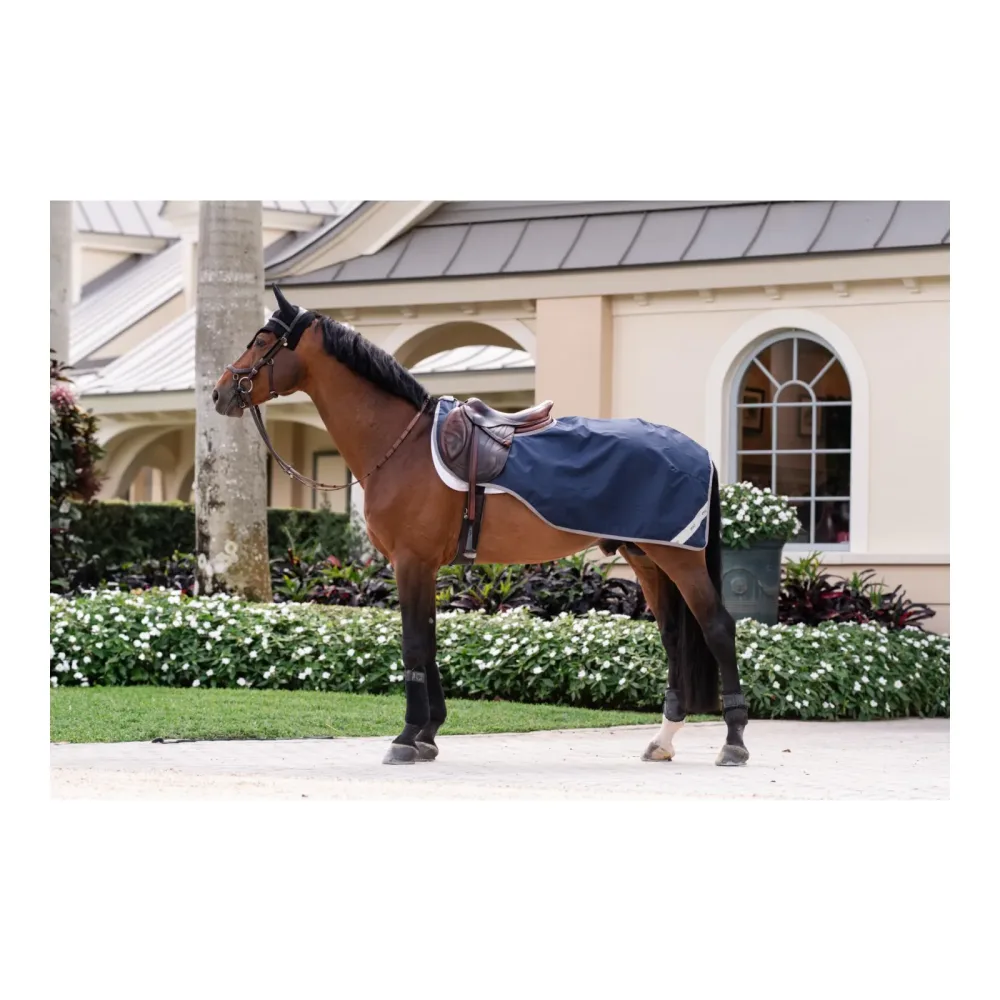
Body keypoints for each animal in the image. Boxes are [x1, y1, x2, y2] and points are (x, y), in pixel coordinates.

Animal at [212, 287, 750, 767]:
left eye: (261, 340)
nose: (220, 392)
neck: (401, 445)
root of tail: (697, 450)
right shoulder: (423, 567)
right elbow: (428, 642)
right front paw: (427, 734)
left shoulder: (410, 562)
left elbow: (413, 644)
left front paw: (406, 738)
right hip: (648, 559)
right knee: (674, 638)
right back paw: (663, 741)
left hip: (679, 558)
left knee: (718, 628)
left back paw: (734, 743)